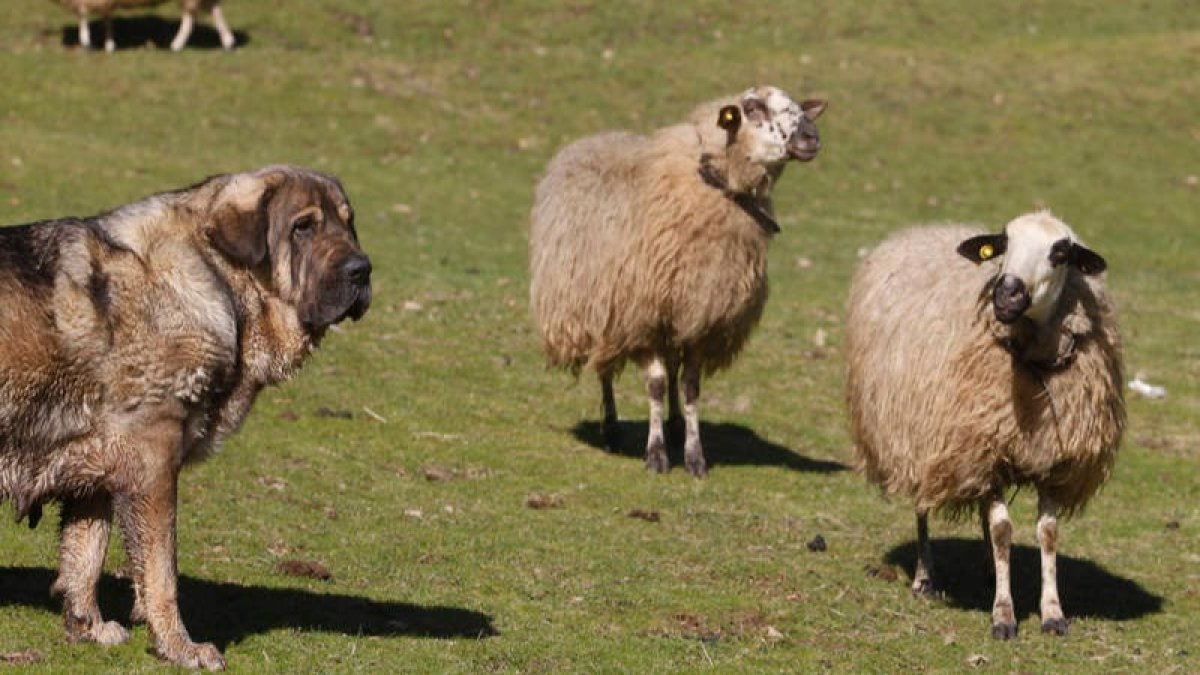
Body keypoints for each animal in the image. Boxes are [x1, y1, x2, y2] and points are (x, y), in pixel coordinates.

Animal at [0, 164, 369, 667]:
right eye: (304, 227)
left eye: (348, 225)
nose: (362, 270)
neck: (215, 276)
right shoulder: (153, 461)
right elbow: (160, 571)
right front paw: (180, 647)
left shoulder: (95, 466)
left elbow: (85, 553)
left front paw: (89, 627)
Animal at [54, 0, 234, 52]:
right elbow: (107, 17)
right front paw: (110, 43)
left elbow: (82, 15)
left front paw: (86, 41)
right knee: (215, 10)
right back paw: (228, 41)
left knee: (190, 18)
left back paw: (176, 45)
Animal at [530, 85, 830, 473]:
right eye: (753, 108)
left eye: (798, 107)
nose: (811, 137)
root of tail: (596, 137)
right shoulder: (644, 316)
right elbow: (656, 385)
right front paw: (656, 455)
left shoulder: (702, 316)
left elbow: (689, 386)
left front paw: (693, 455)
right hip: (601, 306)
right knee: (606, 367)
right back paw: (611, 428)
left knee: (671, 367)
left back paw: (673, 424)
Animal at [844, 212, 1123, 638]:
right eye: (1004, 243)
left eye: (1060, 253)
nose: (1005, 293)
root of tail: (923, 229)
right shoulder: (984, 449)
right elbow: (1003, 531)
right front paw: (1003, 616)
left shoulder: (1050, 459)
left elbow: (1047, 533)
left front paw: (1052, 613)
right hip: (923, 436)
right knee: (925, 504)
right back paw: (925, 579)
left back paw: (991, 569)